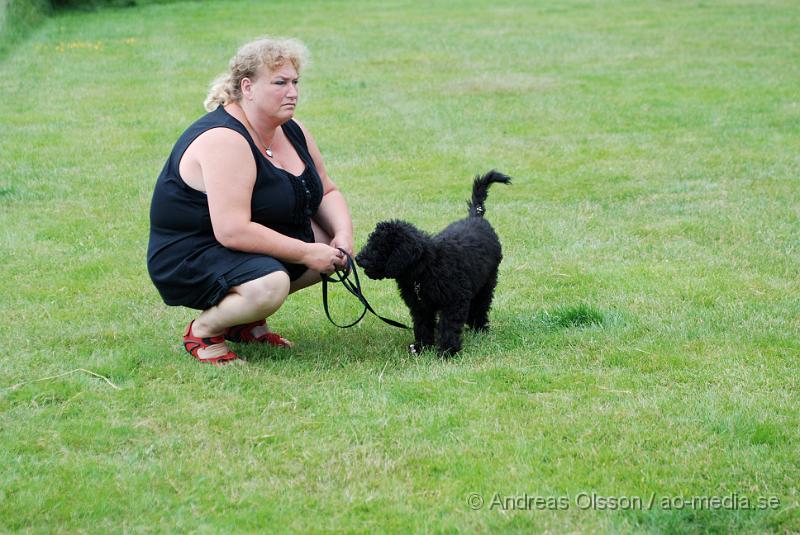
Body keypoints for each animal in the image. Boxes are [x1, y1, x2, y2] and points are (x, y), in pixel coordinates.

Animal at [358, 172, 512, 356]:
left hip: (487, 282)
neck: (425, 268)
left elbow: (449, 325)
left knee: (480, 306)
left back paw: (480, 329)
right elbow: (422, 325)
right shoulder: (420, 305)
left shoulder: (453, 301)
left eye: (378, 248)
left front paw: (447, 351)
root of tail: (476, 216)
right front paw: (422, 347)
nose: (357, 258)